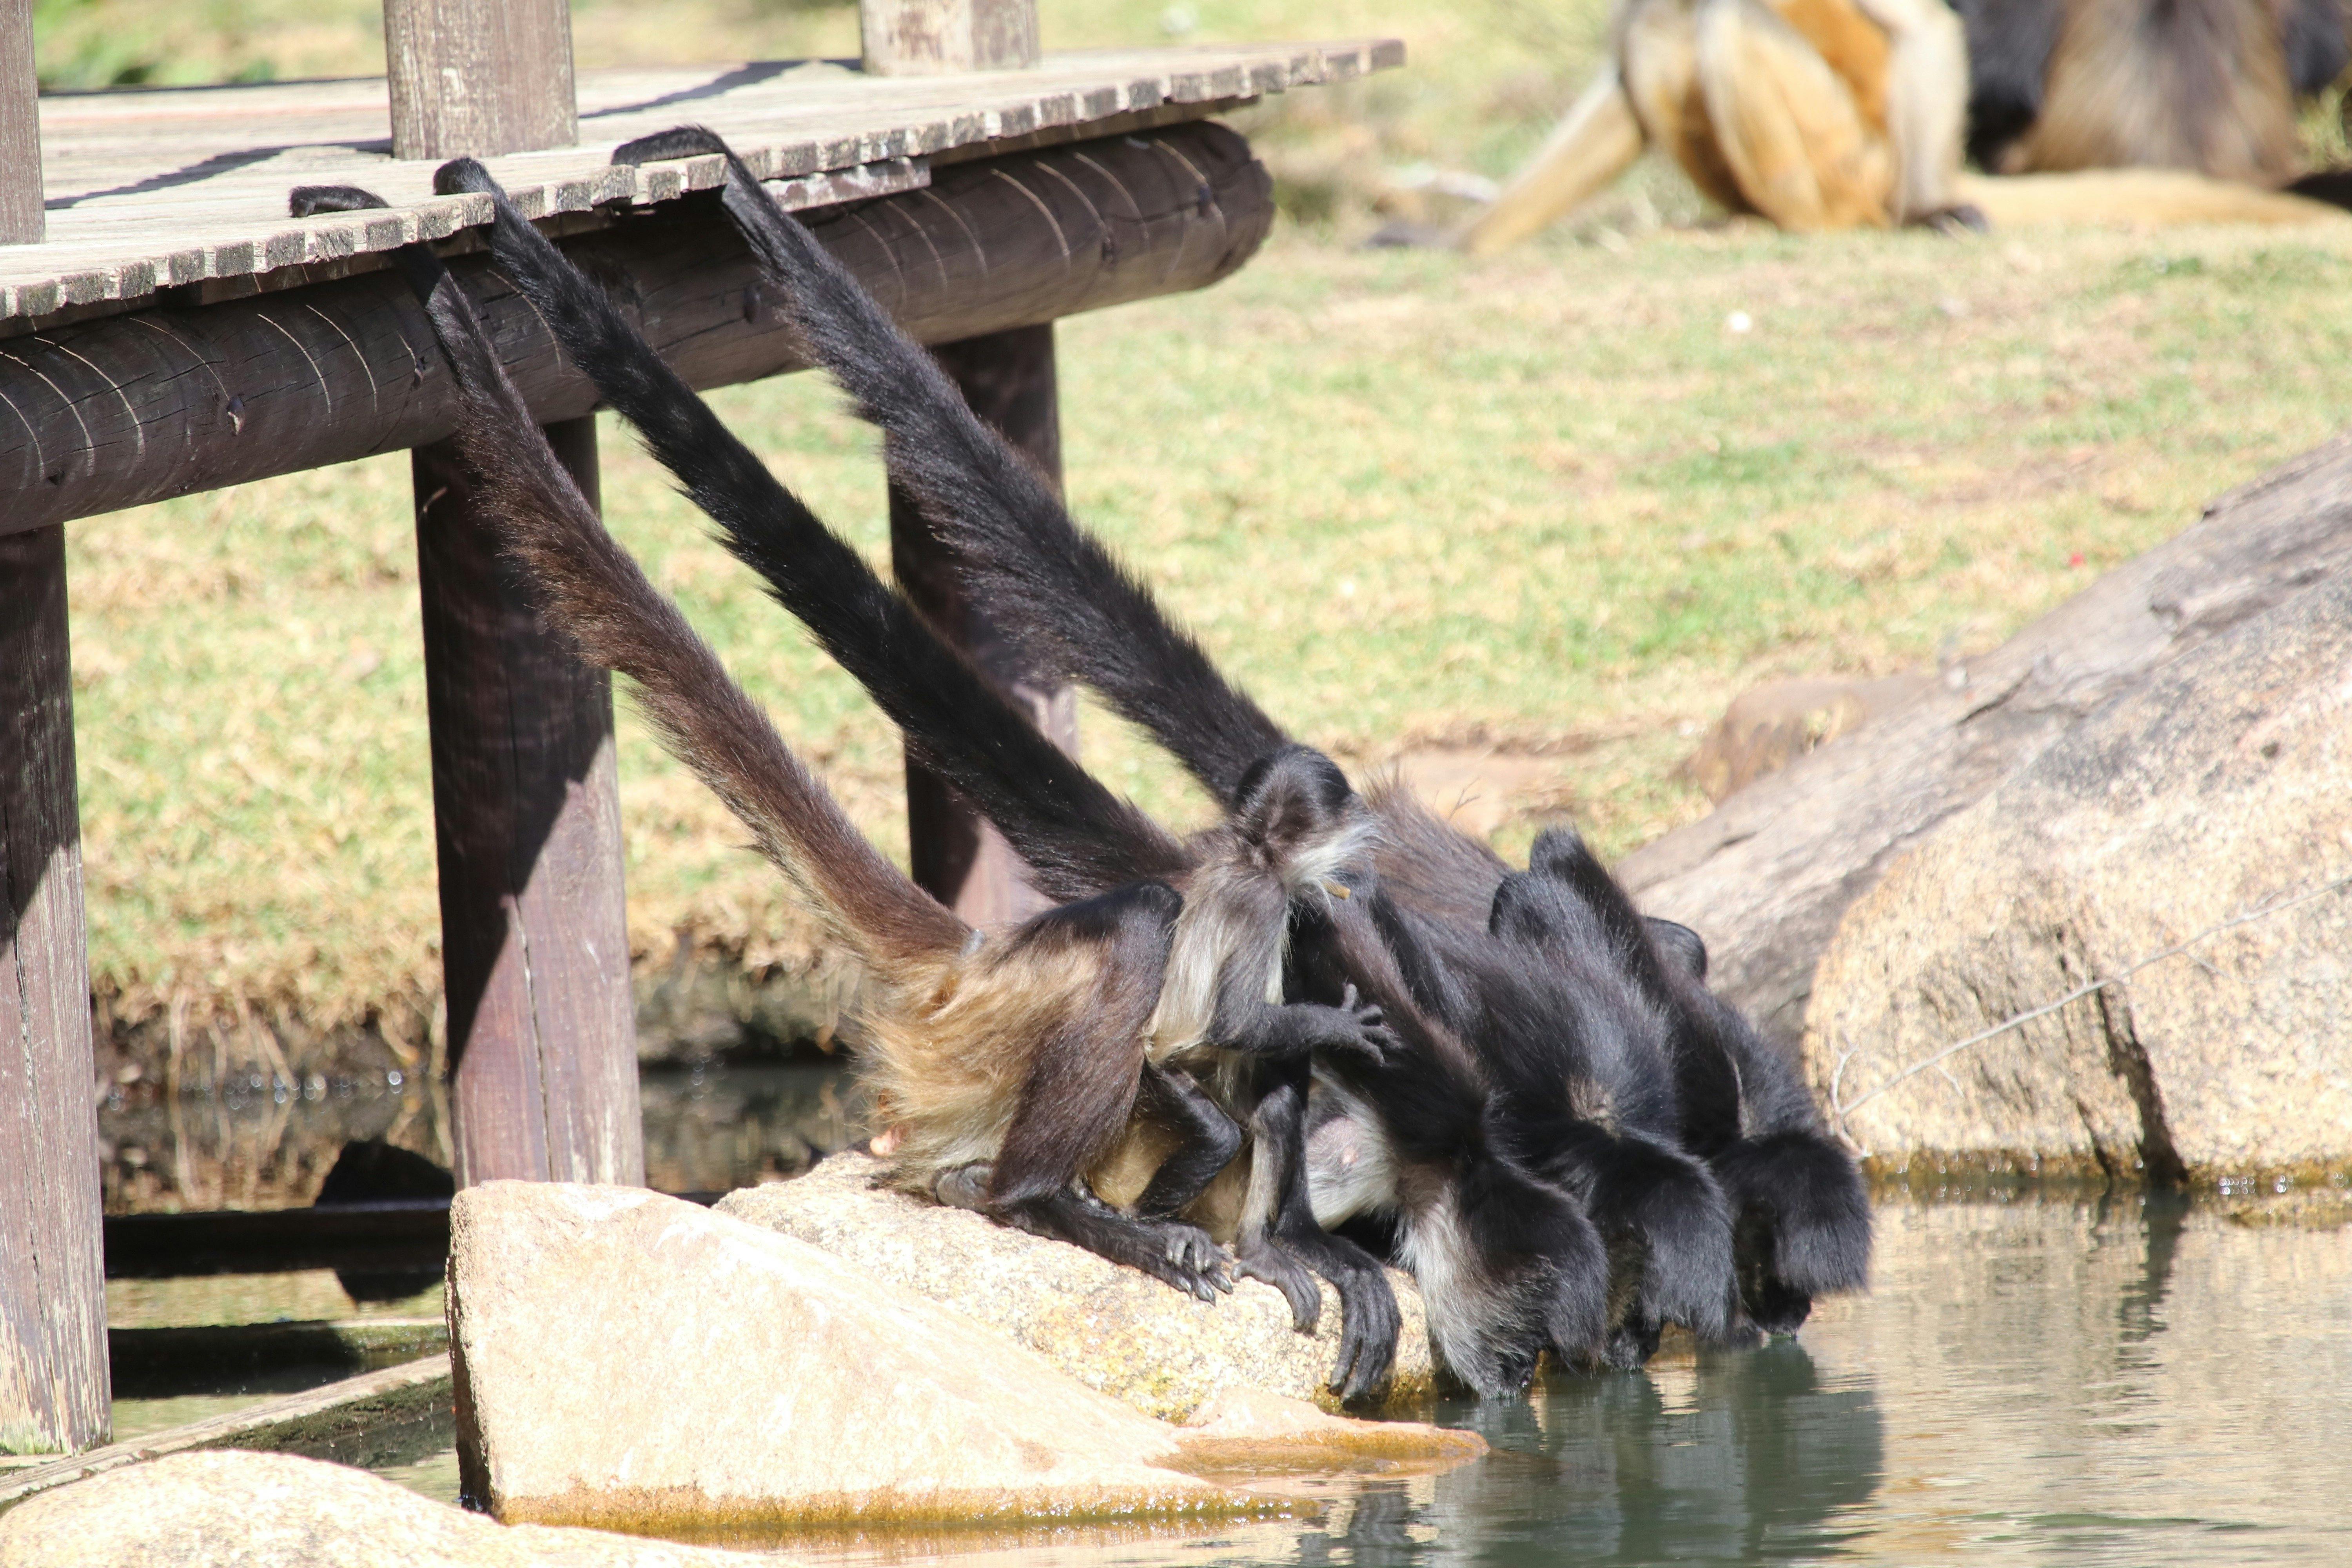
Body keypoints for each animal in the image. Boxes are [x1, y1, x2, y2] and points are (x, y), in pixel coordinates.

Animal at [287, 185, 1410, 1373]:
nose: (1362, 850)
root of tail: (976, 957)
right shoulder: (1253, 905)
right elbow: (1237, 1018)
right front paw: (1335, 1033)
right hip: (1026, 1017)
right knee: (1149, 943)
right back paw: (1034, 1198)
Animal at [1448, 0, 1981, 252]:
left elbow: (1923, 24)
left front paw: (1929, 214)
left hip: (1855, 159)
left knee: (1726, 13)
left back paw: (1801, 223)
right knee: (1656, 23)